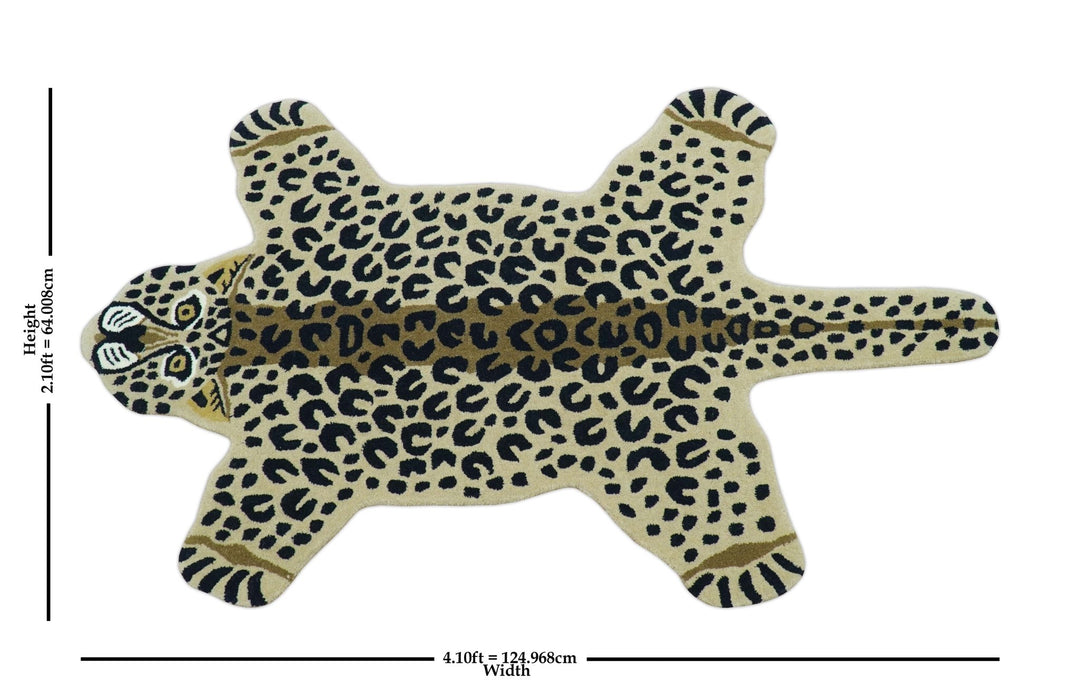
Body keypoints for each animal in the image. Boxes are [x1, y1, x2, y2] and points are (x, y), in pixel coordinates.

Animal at [81, 89, 998, 608]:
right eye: (164, 325)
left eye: (170, 352)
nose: (104, 335)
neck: (233, 330)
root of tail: (727, 311)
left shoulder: (288, 450)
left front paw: (221, 561)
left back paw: (748, 560)